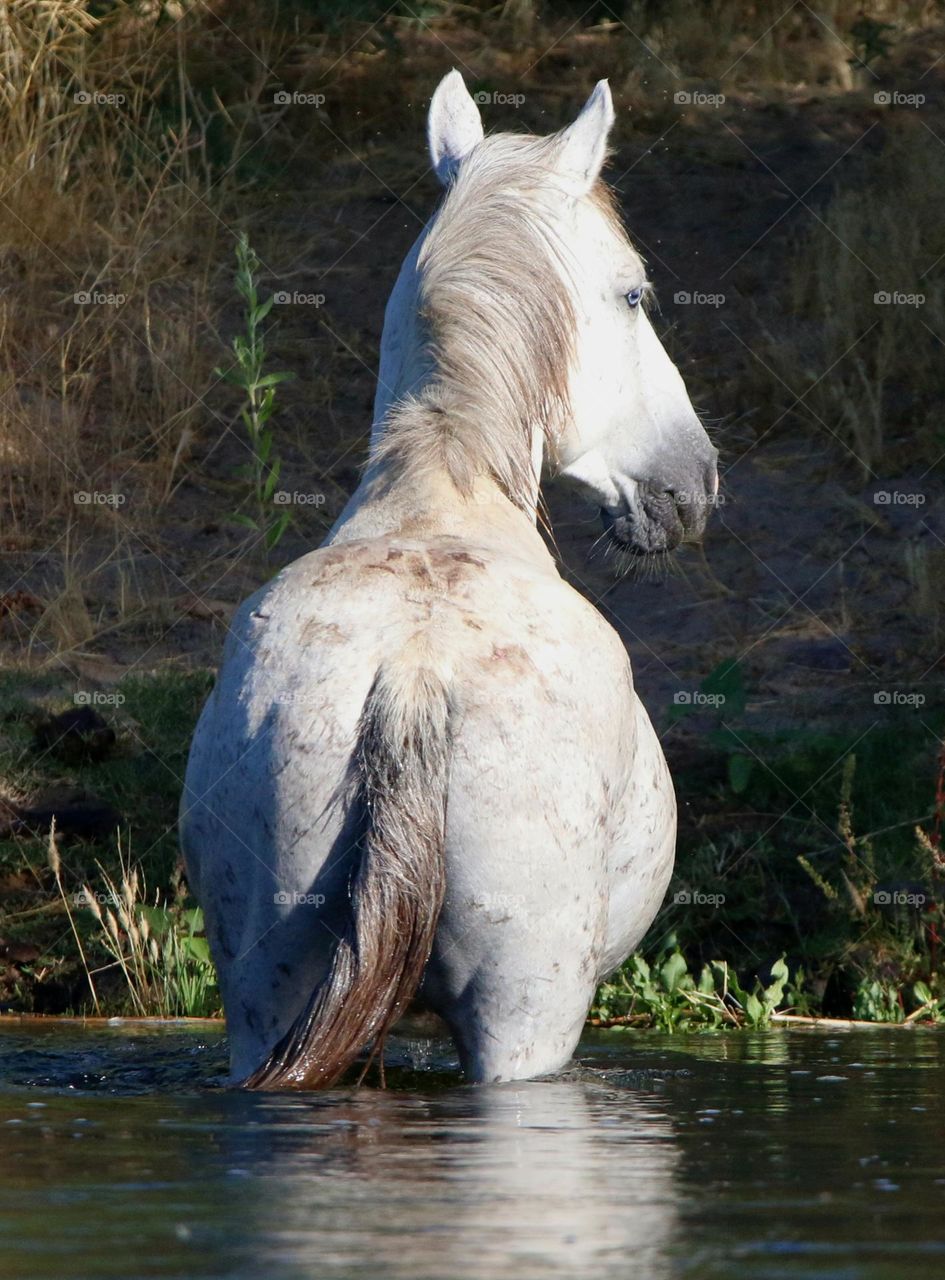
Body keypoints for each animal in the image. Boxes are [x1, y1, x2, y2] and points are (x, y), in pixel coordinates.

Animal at [180, 71, 719, 1089]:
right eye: (633, 292)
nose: (692, 484)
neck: (439, 491)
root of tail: (411, 676)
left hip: (261, 1001)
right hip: (526, 1019)